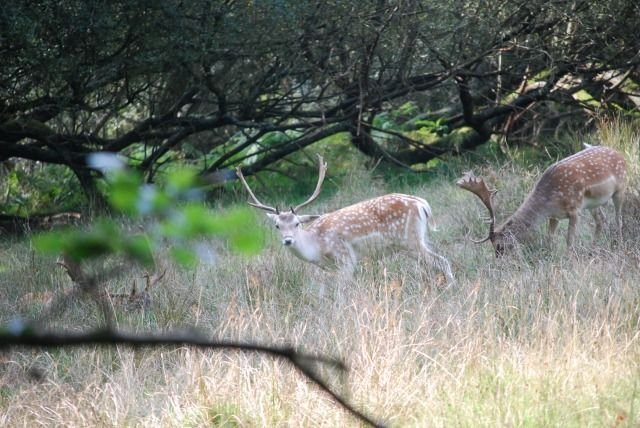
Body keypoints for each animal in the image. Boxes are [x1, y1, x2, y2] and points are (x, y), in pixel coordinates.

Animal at [236, 156, 454, 283]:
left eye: (297, 223)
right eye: (277, 225)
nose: (288, 240)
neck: (317, 248)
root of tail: (422, 203)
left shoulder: (345, 258)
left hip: (409, 240)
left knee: (442, 261)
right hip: (417, 240)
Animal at [456, 144, 626, 256]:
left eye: (500, 246)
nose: (499, 262)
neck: (549, 201)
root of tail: (619, 153)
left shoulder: (575, 209)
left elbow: (569, 240)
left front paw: (569, 258)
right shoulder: (554, 216)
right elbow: (549, 238)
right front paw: (549, 255)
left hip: (620, 188)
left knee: (618, 219)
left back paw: (619, 245)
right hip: (593, 204)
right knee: (601, 221)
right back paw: (593, 249)